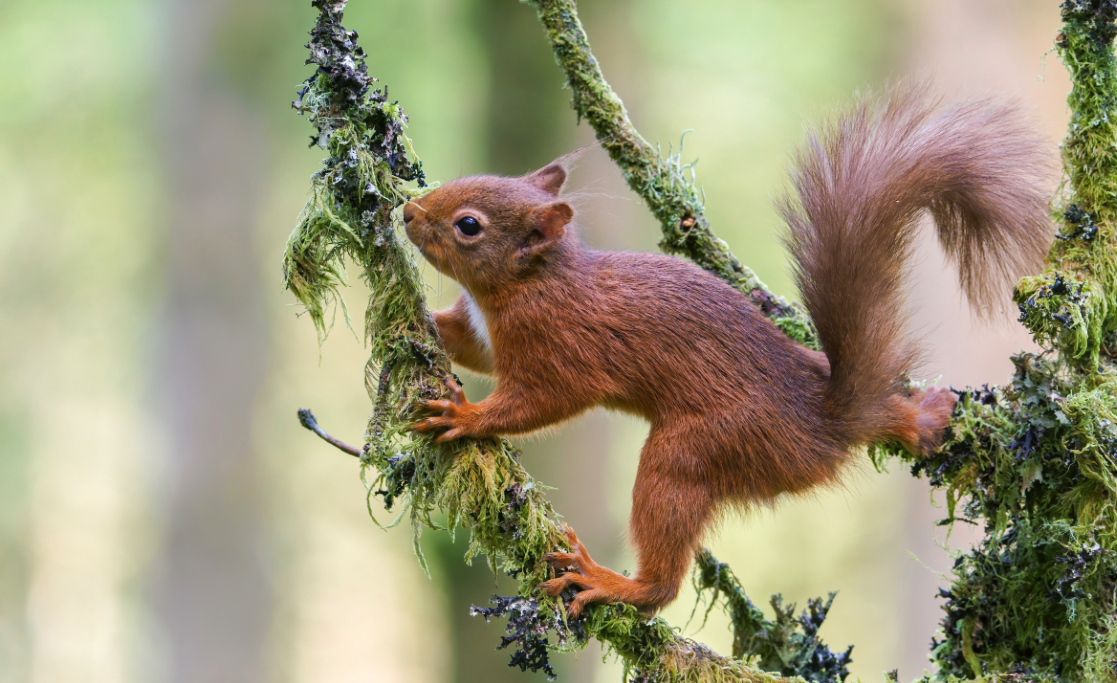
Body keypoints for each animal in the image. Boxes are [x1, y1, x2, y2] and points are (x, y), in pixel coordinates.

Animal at [404, 82, 1054, 617]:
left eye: (468, 225)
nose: (407, 211)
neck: (528, 282)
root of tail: (829, 425)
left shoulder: (559, 345)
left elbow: (540, 401)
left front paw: (468, 414)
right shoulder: (486, 334)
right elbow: (468, 346)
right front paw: (418, 321)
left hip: (697, 450)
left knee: (664, 569)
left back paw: (617, 584)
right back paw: (923, 417)